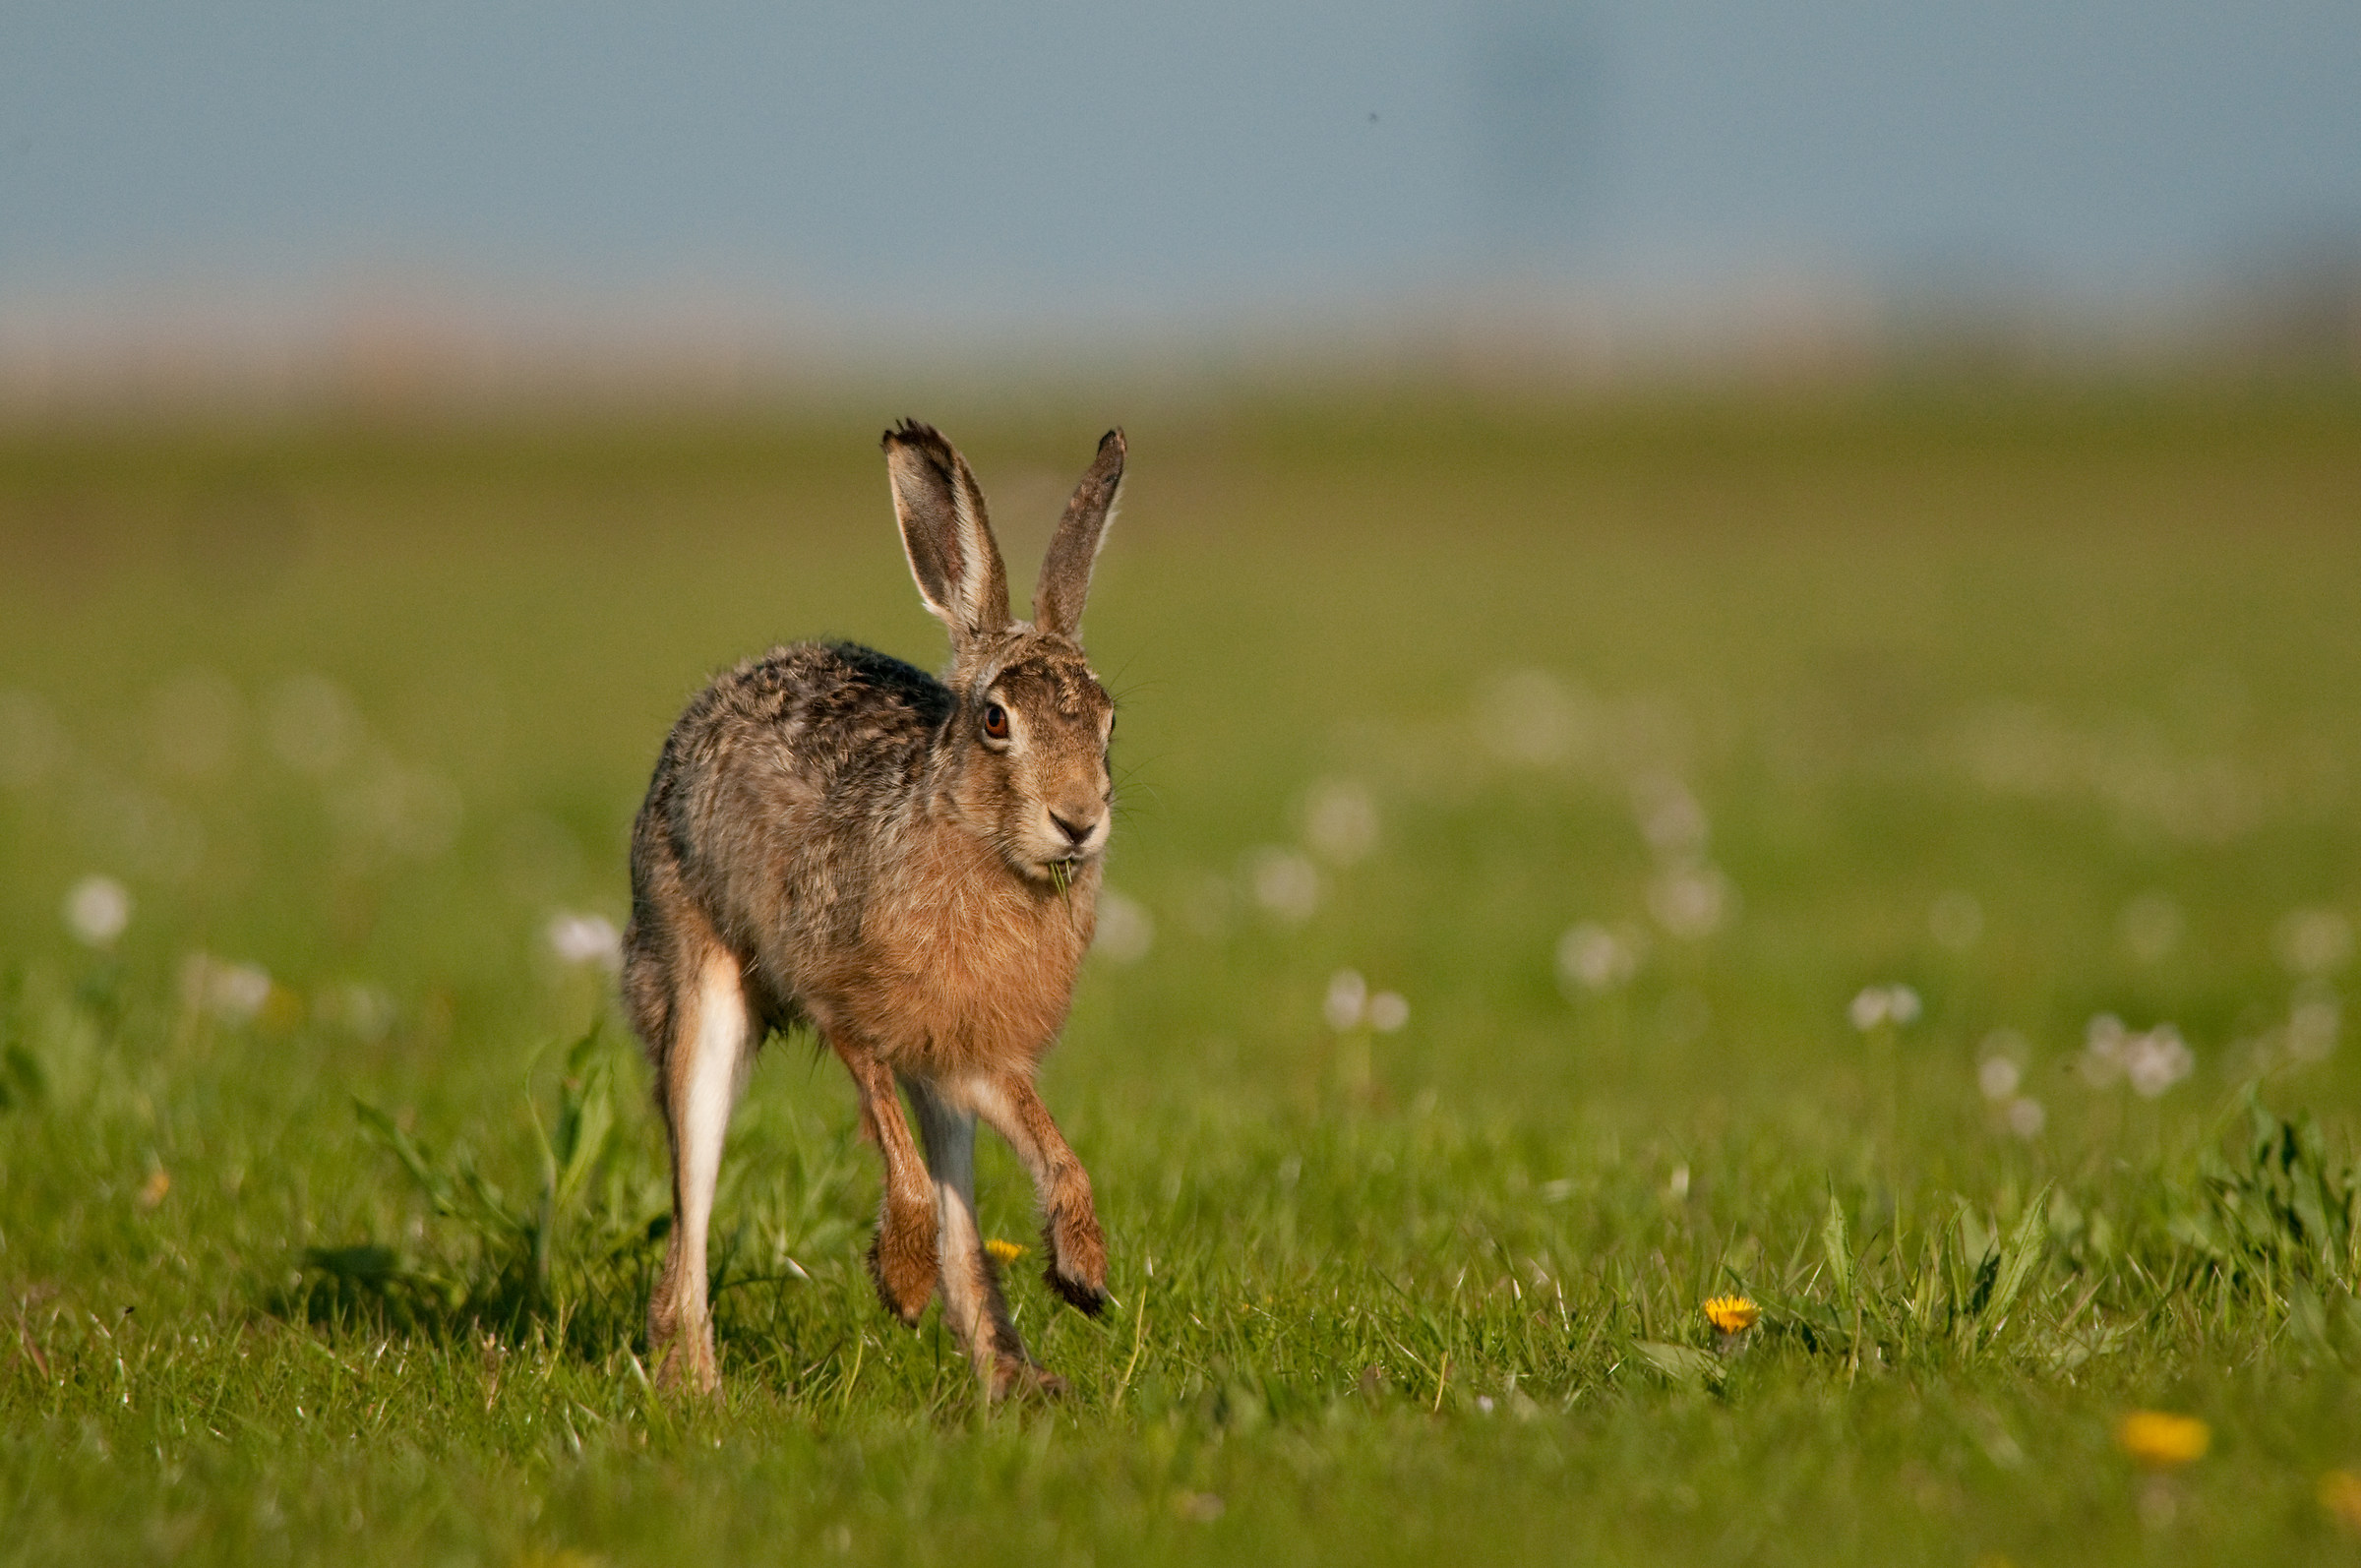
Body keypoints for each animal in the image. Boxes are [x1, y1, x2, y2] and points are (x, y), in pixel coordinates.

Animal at [623, 420, 1126, 1399]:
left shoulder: (974, 1051)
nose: (1079, 821)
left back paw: (1016, 1384)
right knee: (690, 1200)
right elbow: (901, 1163)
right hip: (696, 983)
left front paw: (1083, 1273)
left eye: (1108, 720)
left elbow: (1055, 1153)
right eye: (996, 720)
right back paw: (697, 1388)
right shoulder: (846, 1007)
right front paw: (897, 1281)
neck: (975, 838)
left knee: (968, 1229)